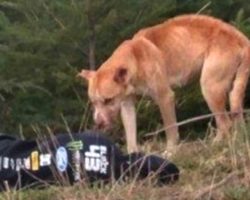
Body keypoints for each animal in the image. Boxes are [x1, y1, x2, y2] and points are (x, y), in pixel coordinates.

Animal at [78, 14, 250, 153]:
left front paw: (171, 151)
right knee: (234, 120)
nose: (98, 124)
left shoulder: (165, 97)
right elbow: (131, 135)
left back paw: (214, 145)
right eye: (93, 102)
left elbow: (170, 129)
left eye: (108, 100)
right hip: (231, 91)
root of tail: (241, 38)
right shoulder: (127, 105)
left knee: (225, 123)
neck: (135, 59)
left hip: (210, 87)